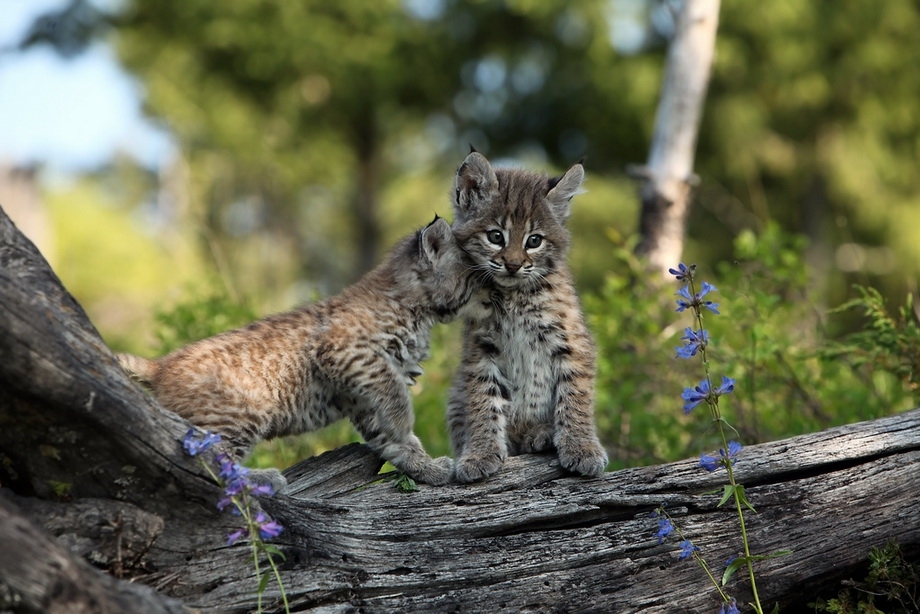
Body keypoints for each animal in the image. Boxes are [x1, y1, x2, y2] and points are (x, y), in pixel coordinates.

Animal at [117, 217, 470, 486]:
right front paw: (405, 425)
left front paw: (424, 467)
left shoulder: (360, 393)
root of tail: (161, 365)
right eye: (469, 276)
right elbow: (396, 398)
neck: (416, 309)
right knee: (207, 458)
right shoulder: (348, 354)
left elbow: (388, 437)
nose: (479, 292)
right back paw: (259, 480)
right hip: (239, 413)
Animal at [448, 152, 608, 484]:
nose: (513, 265)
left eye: (534, 241)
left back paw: (542, 434)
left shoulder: (572, 341)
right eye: (496, 236)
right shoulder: (480, 347)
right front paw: (480, 452)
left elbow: (575, 396)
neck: (514, 296)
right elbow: (482, 399)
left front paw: (582, 448)